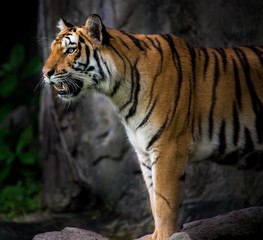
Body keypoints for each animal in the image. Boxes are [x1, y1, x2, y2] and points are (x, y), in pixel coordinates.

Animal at [42, 14, 263, 239]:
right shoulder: (144, 152)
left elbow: (165, 202)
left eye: (71, 50)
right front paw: (155, 235)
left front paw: (165, 235)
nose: (45, 72)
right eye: (52, 49)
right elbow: (154, 199)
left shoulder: (168, 147)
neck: (118, 92)